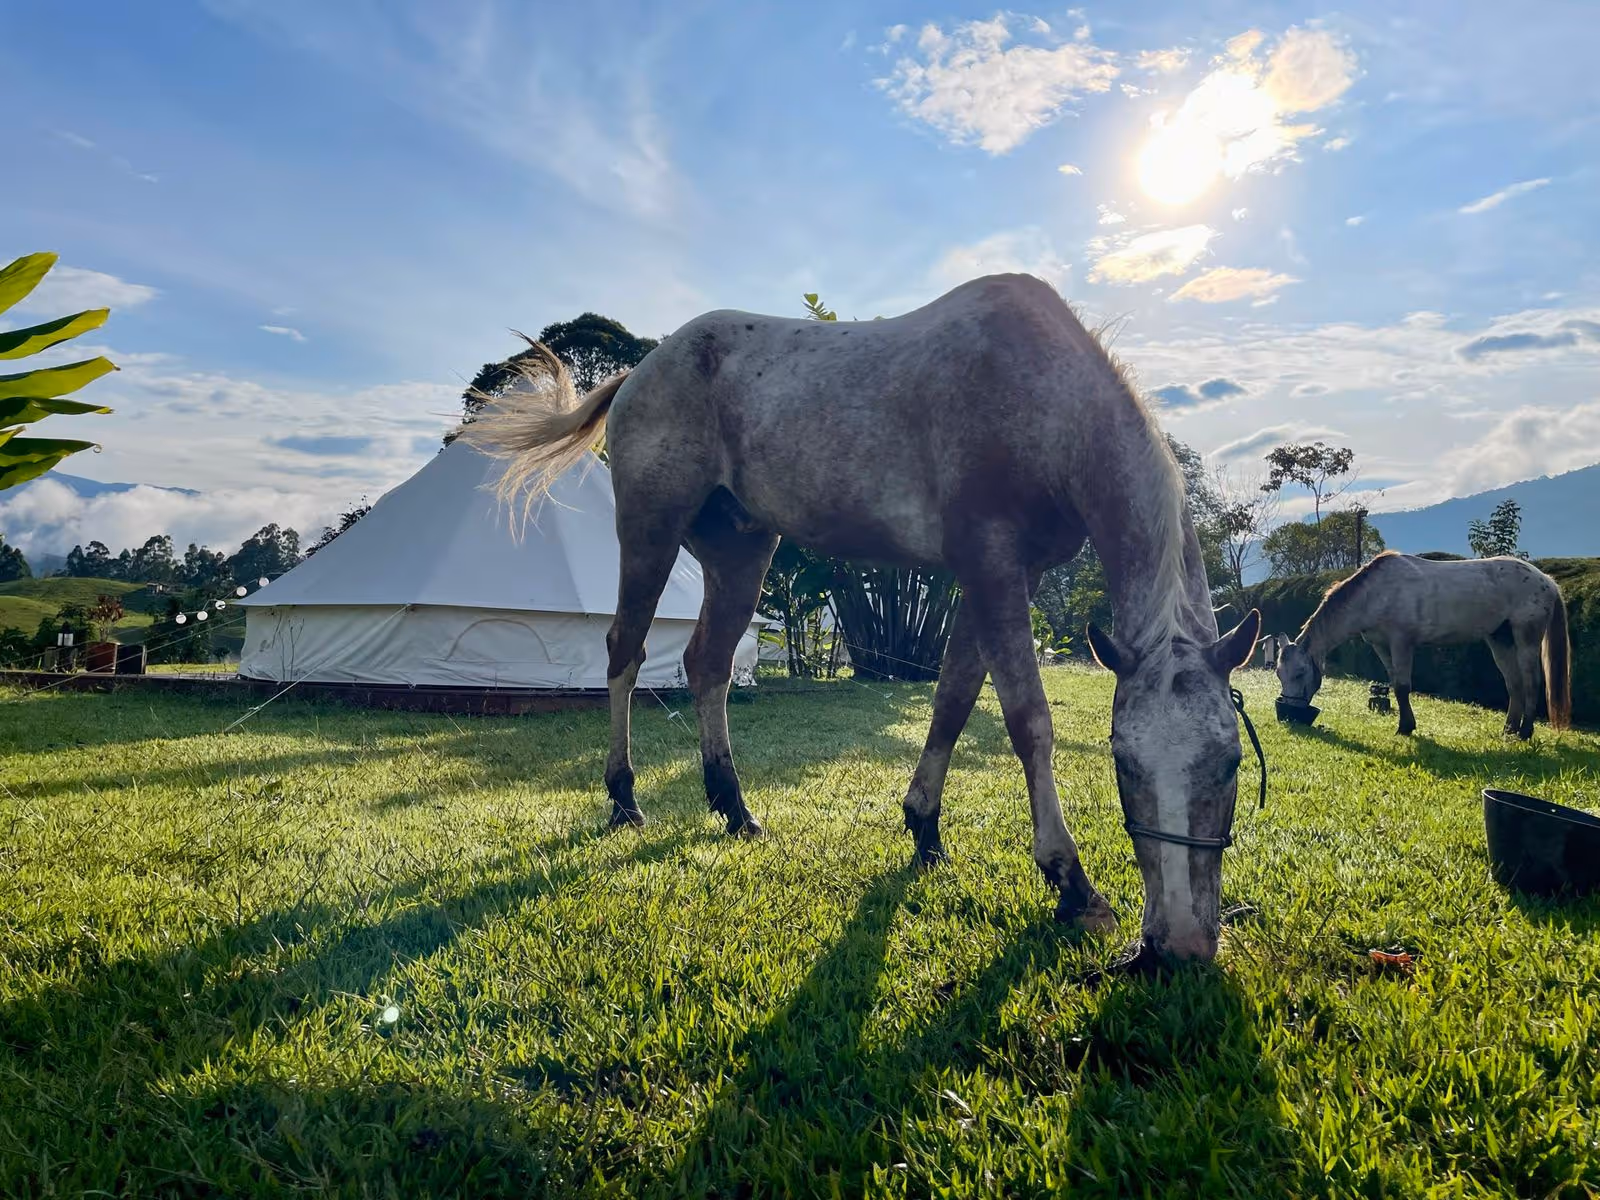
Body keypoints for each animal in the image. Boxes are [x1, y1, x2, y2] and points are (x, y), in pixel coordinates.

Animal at [463, 273, 1261, 962]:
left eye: (1230, 762)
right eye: (1124, 762)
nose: (1181, 945)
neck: (1042, 394)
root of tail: (641, 370)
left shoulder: (1000, 576)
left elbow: (952, 700)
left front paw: (924, 829)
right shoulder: (993, 567)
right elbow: (1027, 720)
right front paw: (1071, 883)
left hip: (741, 552)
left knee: (707, 664)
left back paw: (733, 808)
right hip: (650, 532)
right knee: (625, 651)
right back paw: (625, 798)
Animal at [1275, 551, 1571, 738]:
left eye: (1300, 673)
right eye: (1279, 673)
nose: (1289, 712)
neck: (1375, 594)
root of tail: (1547, 581)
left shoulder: (1401, 642)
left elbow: (1403, 686)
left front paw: (1405, 727)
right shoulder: (1382, 646)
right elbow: (1395, 683)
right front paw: (1406, 723)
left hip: (1526, 638)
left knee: (1532, 682)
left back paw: (1525, 731)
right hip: (1500, 639)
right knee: (1514, 684)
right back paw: (1509, 729)